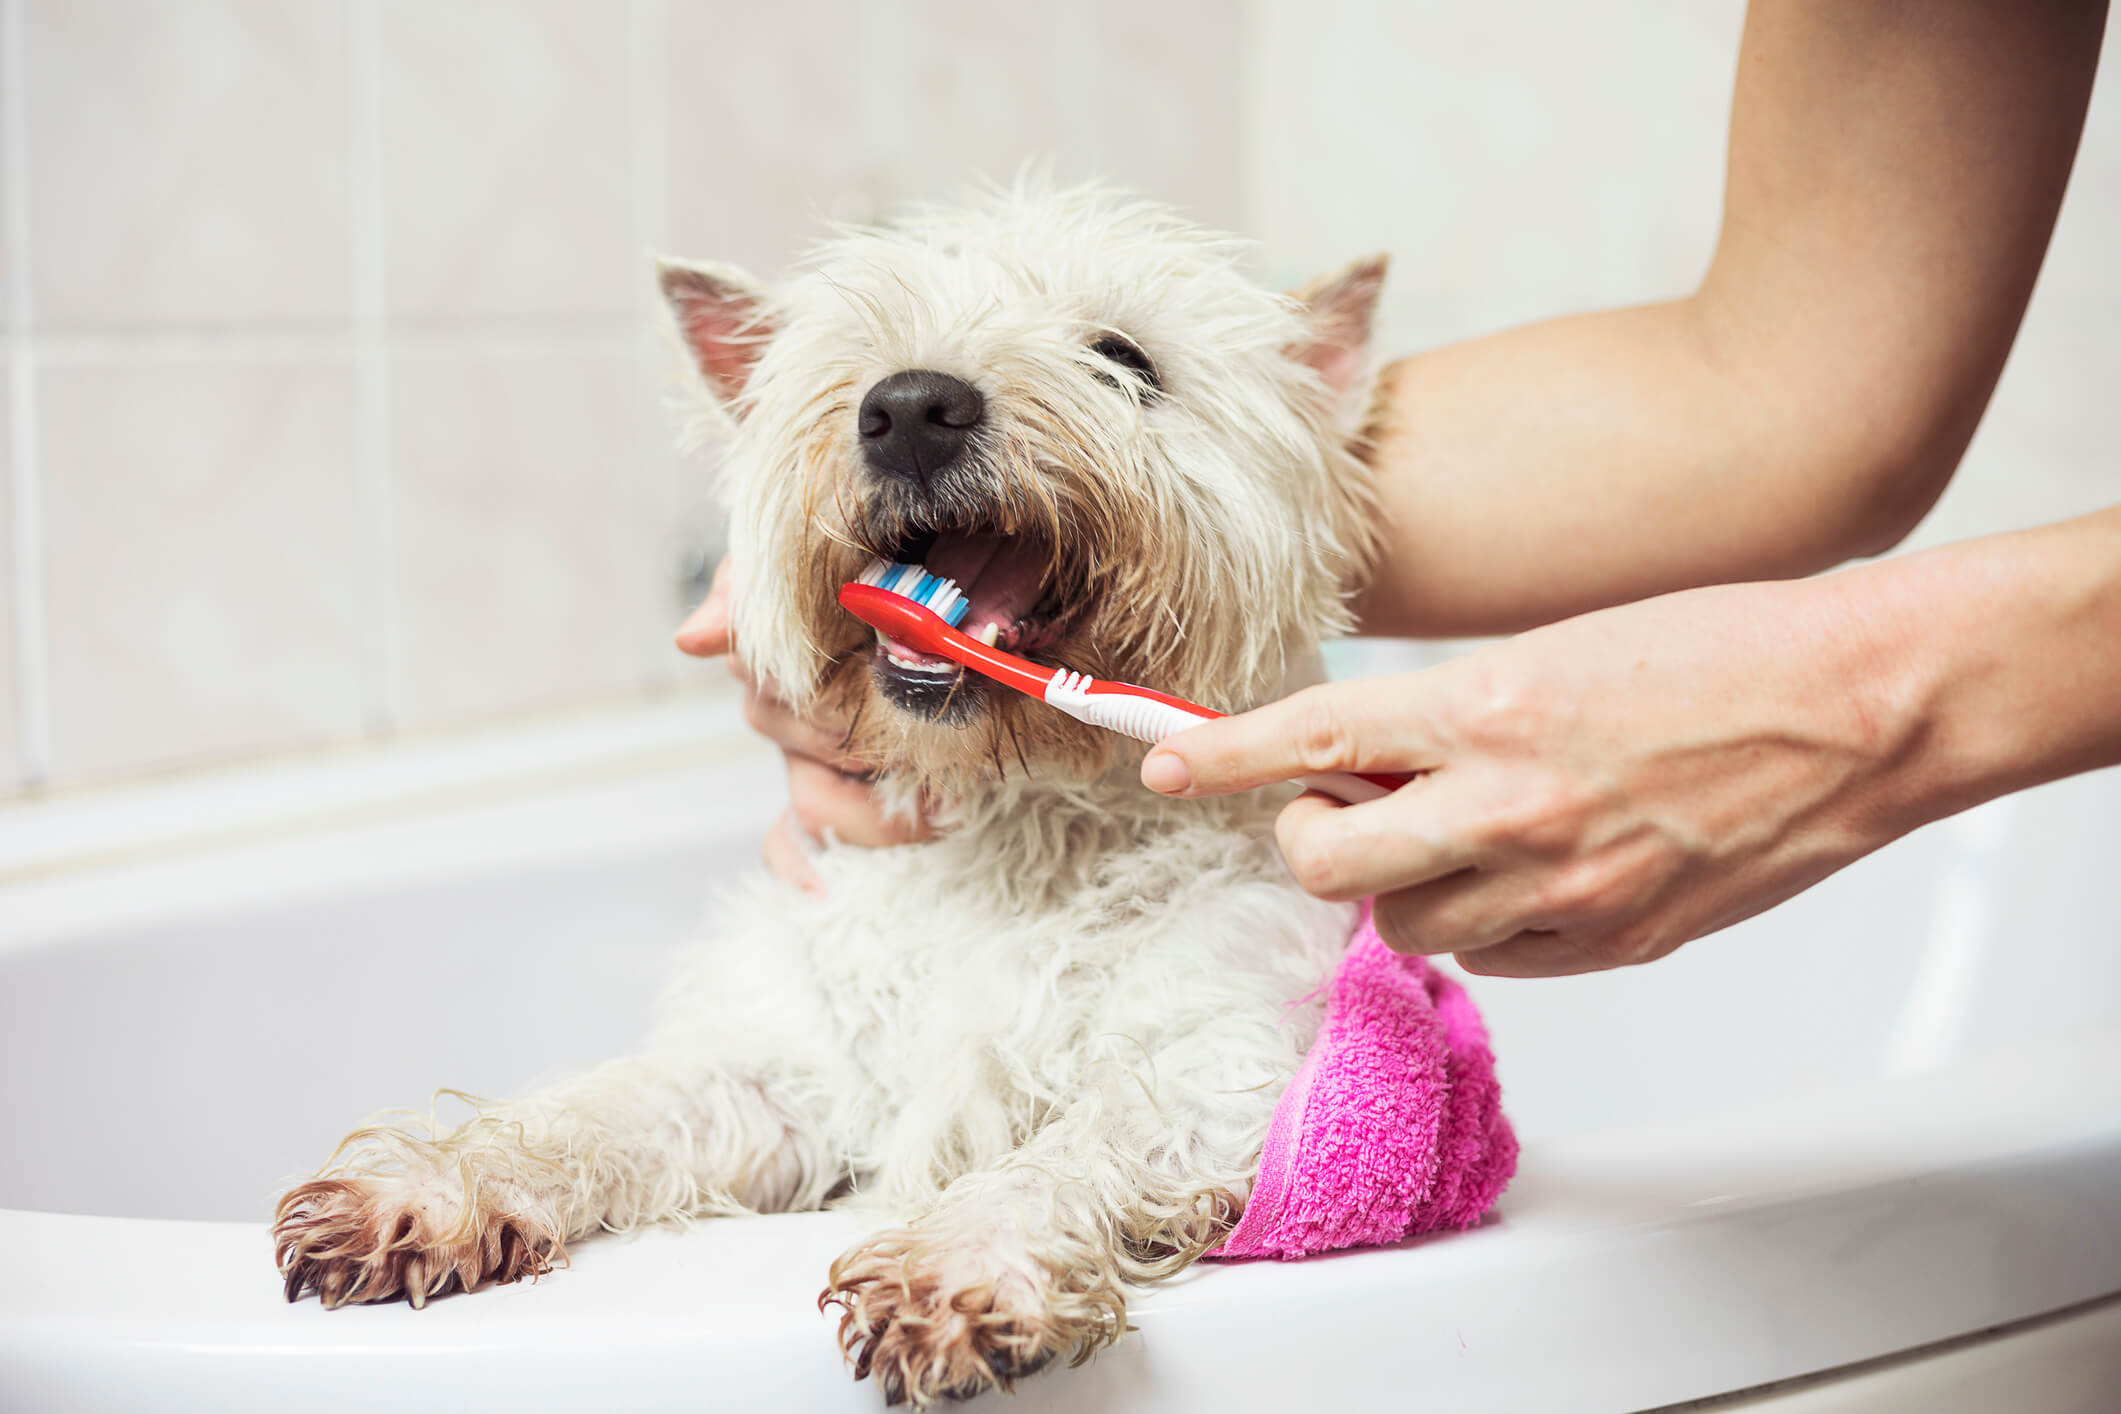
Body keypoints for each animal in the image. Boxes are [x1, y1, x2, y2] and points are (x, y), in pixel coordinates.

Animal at [277, 182, 1391, 1407]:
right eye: (860, 355)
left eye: (1125, 358)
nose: (910, 408)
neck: (1014, 825)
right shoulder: (785, 1072)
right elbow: (606, 1107)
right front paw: (431, 1184)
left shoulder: (1208, 1065)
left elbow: (1076, 1147)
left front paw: (962, 1264)